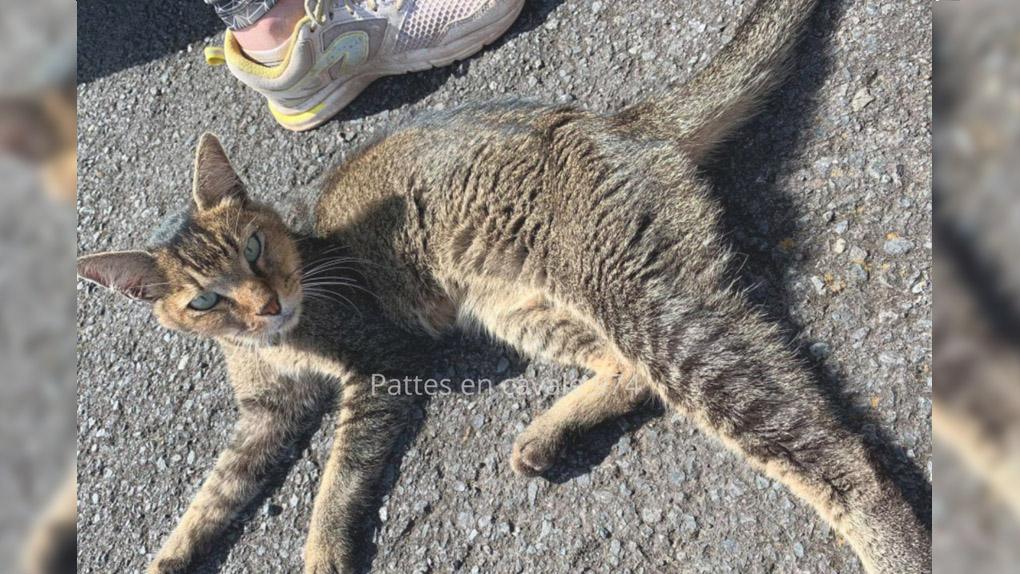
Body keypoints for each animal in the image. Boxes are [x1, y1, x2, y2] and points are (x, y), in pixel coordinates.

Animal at [77, 1, 934, 574]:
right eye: (204, 299)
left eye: (256, 248)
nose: (268, 304)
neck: (277, 338)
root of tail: (620, 121)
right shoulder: (266, 415)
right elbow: (215, 492)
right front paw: (167, 557)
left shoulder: (378, 370)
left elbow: (337, 476)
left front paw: (320, 550)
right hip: (523, 308)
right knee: (629, 374)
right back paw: (547, 433)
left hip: (652, 308)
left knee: (841, 461)